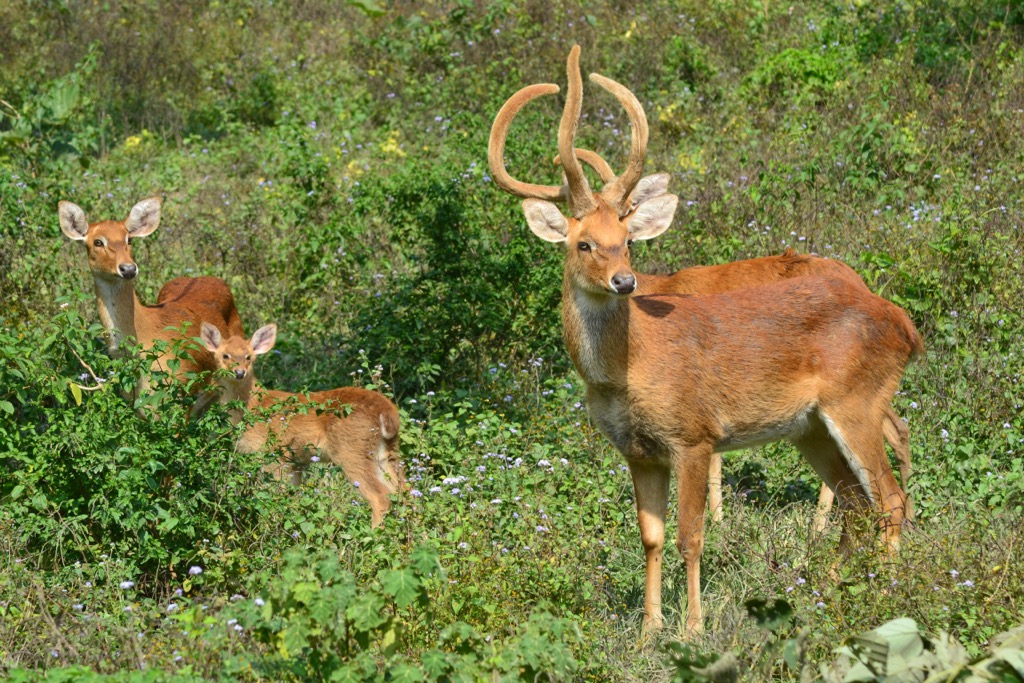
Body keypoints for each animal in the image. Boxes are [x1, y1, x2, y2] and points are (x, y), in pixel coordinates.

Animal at [199, 322, 404, 528]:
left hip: (351, 450)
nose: (239, 373)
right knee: (403, 492)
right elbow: (293, 498)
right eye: (225, 355)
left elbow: (275, 497)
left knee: (381, 497)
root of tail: (387, 411)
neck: (252, 406)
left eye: (249, 357)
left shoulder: (274, 455)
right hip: (387, 452)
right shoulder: (295, 462)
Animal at [552, 152, 913, 531]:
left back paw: (825, 524)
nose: (622, 278)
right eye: (583, 239)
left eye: (627, 229)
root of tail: (862, 284)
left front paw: (717, 519)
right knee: (898, 430)